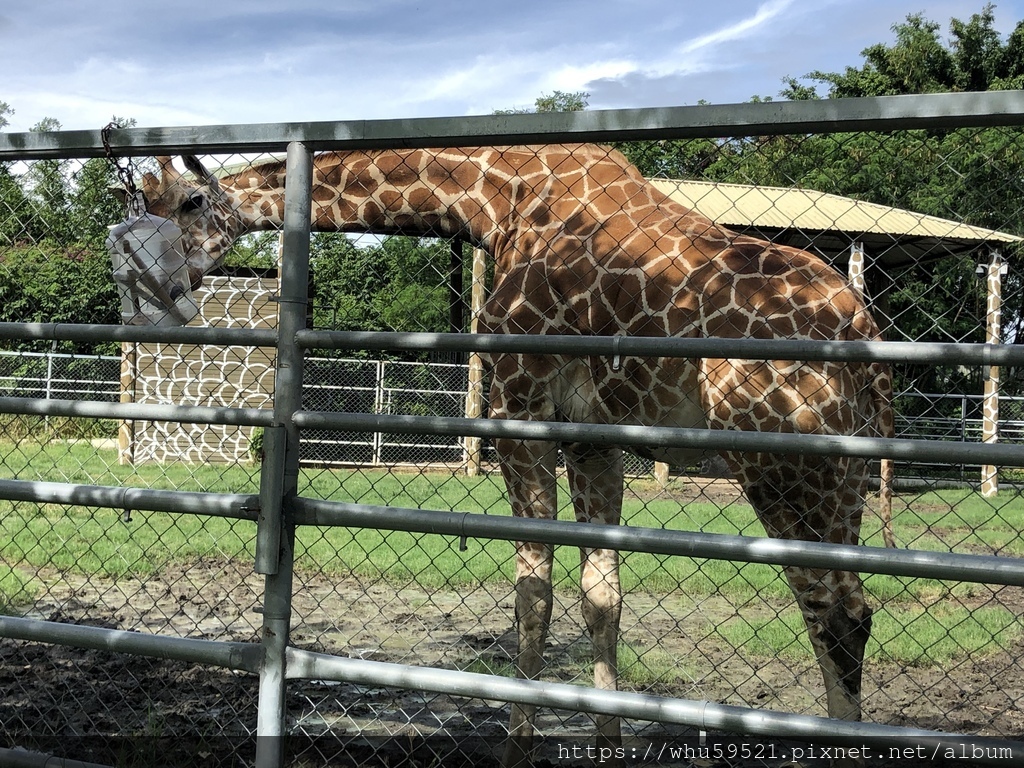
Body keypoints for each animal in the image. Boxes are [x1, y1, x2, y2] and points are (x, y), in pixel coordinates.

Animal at [138, 147, 897, 765]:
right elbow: (600, 597)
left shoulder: (518, 410)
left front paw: (516, 751)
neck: (493, 198)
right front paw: (605, 748)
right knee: (845, 608)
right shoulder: (594, 436)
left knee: (836, 612)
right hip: (844, 472)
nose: (155, 287)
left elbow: (533, 592)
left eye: (187, 202)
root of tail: (862, 325)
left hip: (781, 459)